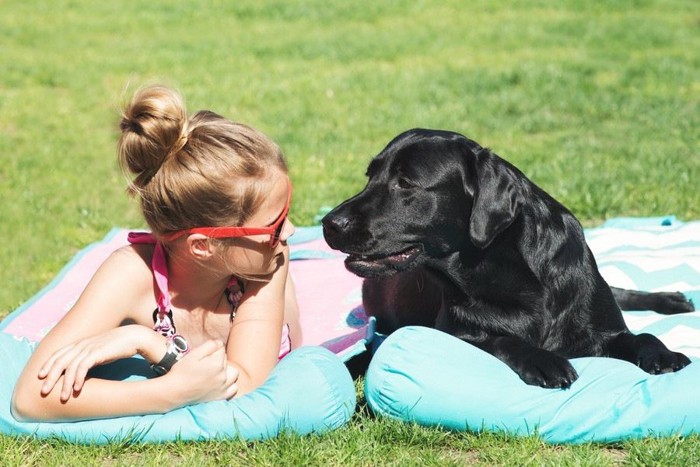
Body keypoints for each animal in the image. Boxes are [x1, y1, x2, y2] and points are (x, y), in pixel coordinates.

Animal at [324, 130, 696, 390]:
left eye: (405, 182)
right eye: (370, 176)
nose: (329, 223)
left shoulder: (603, 330)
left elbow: (640, 336)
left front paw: (663, 354)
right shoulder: (457, 333)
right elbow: (503, 338)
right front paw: (546, 361)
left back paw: (672, 299)